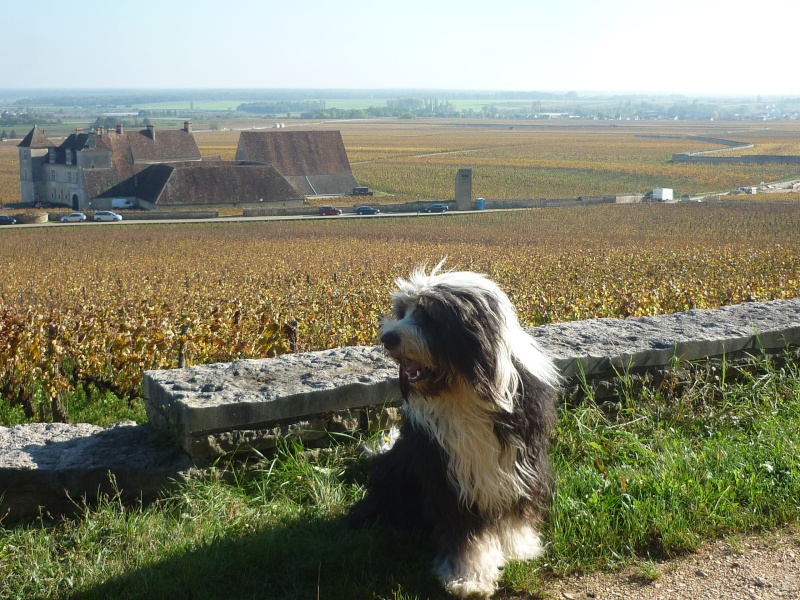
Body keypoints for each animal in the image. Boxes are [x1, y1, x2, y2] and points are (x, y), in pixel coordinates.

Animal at [350, 264, 564, 596]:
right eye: (402, 311)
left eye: (428, 315)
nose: (388, 337)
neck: (465, 390)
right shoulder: (449, 476)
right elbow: (463, 534)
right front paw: (469, 579)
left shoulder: (519, 463)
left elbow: (515, 513)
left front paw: (518, 548)